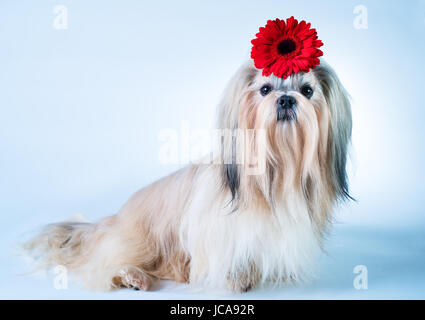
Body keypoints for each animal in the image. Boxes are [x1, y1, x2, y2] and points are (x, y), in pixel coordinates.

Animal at [24, 16, 352, 292]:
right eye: (265, 89)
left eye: (307, 90)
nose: (285, 100)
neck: (277, 170)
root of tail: (109, 221)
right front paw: (237, 279)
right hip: (139, 239)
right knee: (102, 262)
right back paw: (133, 277)